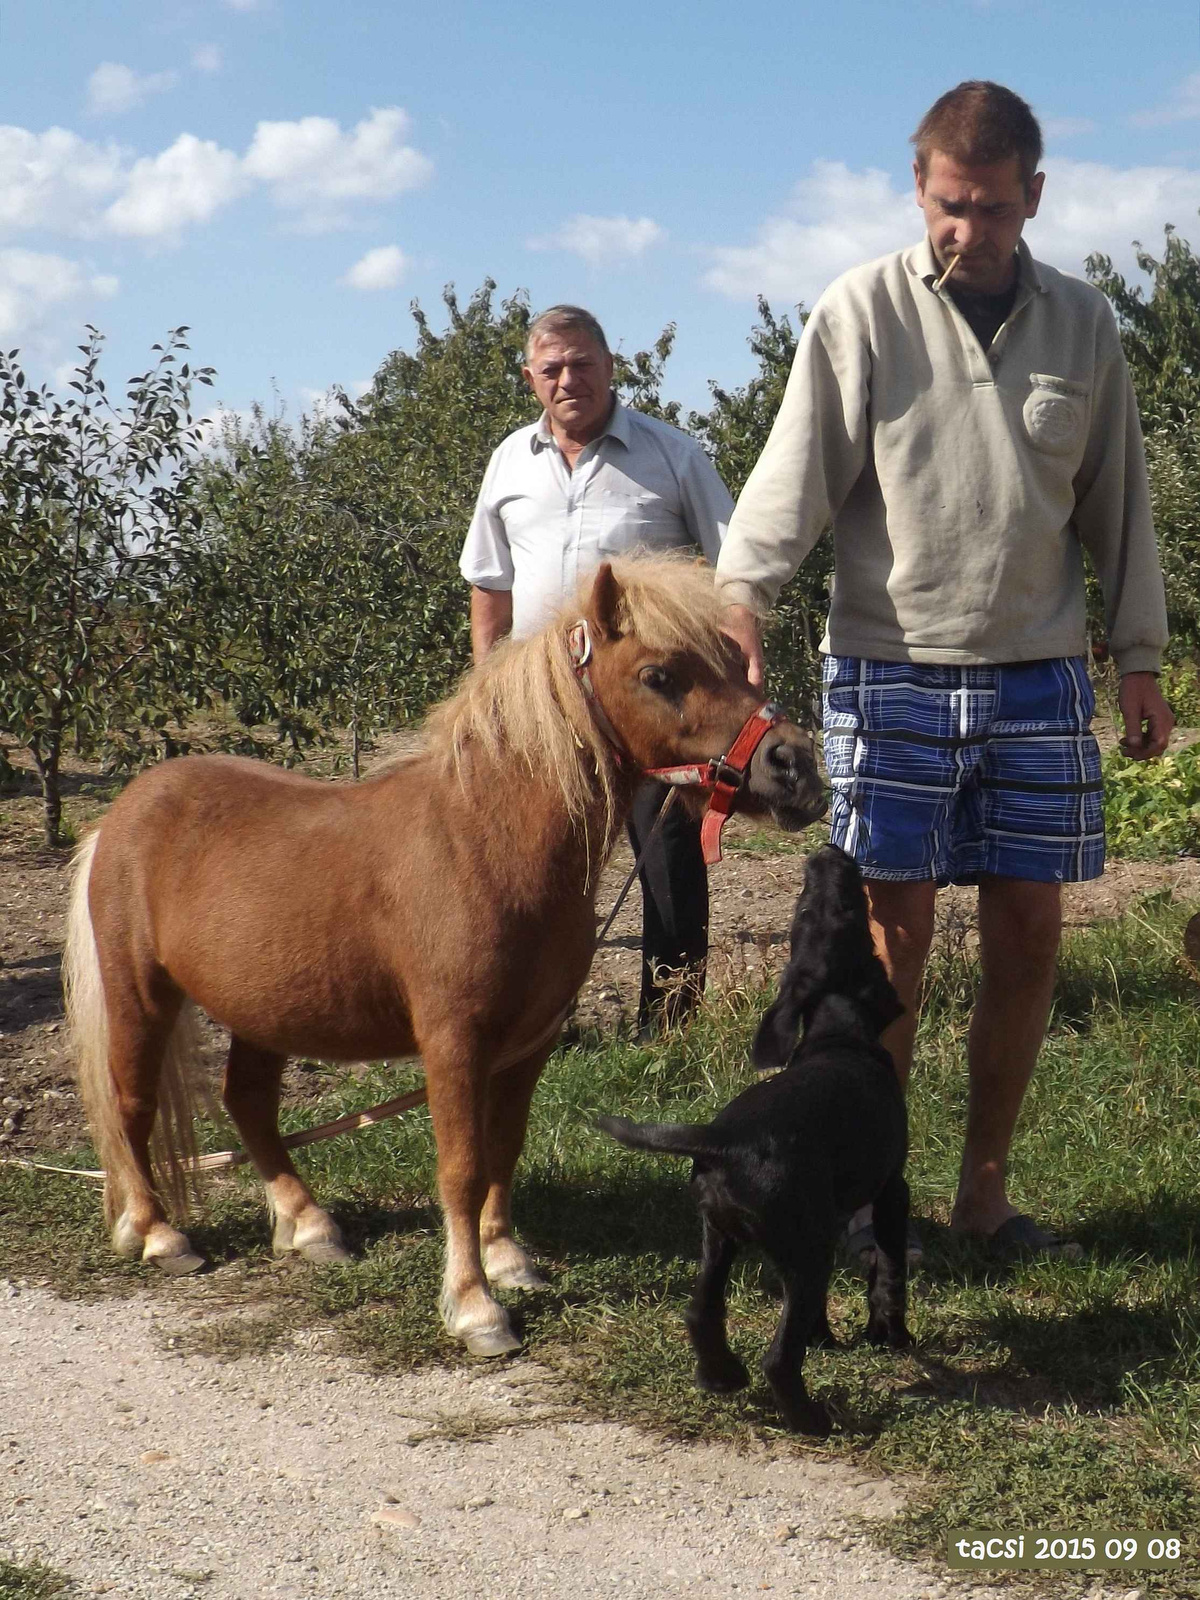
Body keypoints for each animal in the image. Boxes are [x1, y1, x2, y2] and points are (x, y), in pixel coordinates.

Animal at [598, 851, 915, 1440]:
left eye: (805, 910)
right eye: (855, 914)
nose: (828, 856)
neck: (837, 1037)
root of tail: (725, 1140)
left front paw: (826, 1338)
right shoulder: (890, 1189)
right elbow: (889, 1270)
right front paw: (891, 1336)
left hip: (719, 1235)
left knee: (701, 1312)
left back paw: (721, 1376)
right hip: (806, 1251)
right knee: (778, 1358)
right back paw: (811, 1419)